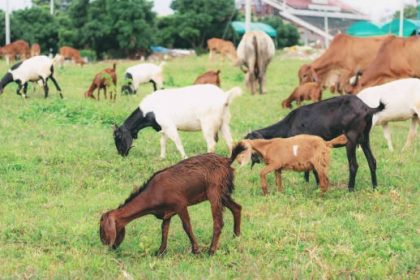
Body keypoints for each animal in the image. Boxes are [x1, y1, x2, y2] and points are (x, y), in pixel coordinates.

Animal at [113, 84, 241, 159]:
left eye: (118, 137)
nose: (121, 154)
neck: (149, 110)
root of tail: (224, 96)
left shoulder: (169, 126)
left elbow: (178, 143)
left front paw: (184, 157)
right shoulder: (163, 128)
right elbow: (162, 142)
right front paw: (162, 157)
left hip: (208, 124)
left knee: (212, 144)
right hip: (224, 123)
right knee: (230, 142)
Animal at [244, 95, 386, 191]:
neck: (289, 124)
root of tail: (367, 108)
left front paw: (317, 185)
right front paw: (308, 183)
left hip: (351, 138)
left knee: (353, 165)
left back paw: (350, 189)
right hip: (365, 139)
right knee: (372, 161)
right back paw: (375, 187)